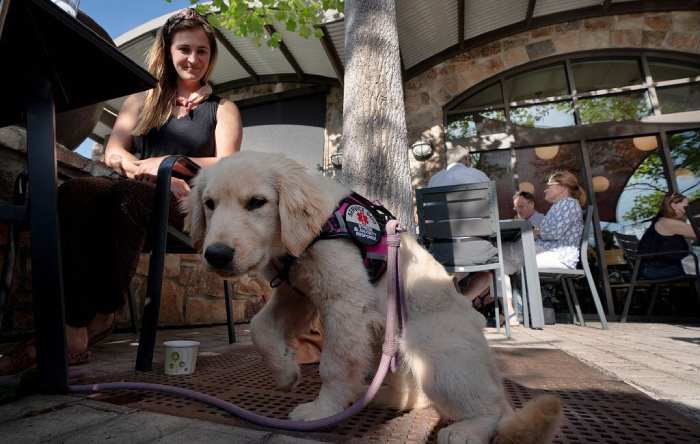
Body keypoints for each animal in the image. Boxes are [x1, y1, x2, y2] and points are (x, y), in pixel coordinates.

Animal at [183, 151, 560, 442]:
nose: (216, 255)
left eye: (257, 203)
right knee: (422, 398)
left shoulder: (344, 301)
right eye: (209, 204)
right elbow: (261, 328)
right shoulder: (297, 293)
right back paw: (381, 396)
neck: (312, 233)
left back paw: (468, 430)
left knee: (492, 406)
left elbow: (334, 364)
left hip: (438, 353)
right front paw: (285, 372)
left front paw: (322, 410)